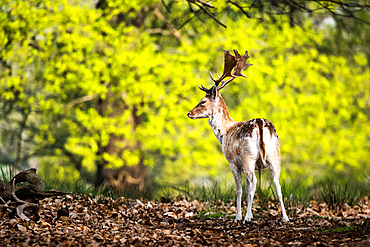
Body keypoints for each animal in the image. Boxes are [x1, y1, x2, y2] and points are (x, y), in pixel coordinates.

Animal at [188, 49, 290, 223]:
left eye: (202, 101)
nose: (189, 113)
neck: (224, 132)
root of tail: (260, 124)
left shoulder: (233, 162)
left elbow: (240, 189)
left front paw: (239, 216)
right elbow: (248, 189)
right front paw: (249, 214)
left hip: (247, 156)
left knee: (254, 182)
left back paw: (246, 218)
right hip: (275, 155)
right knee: (277, 184)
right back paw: (285, 218)